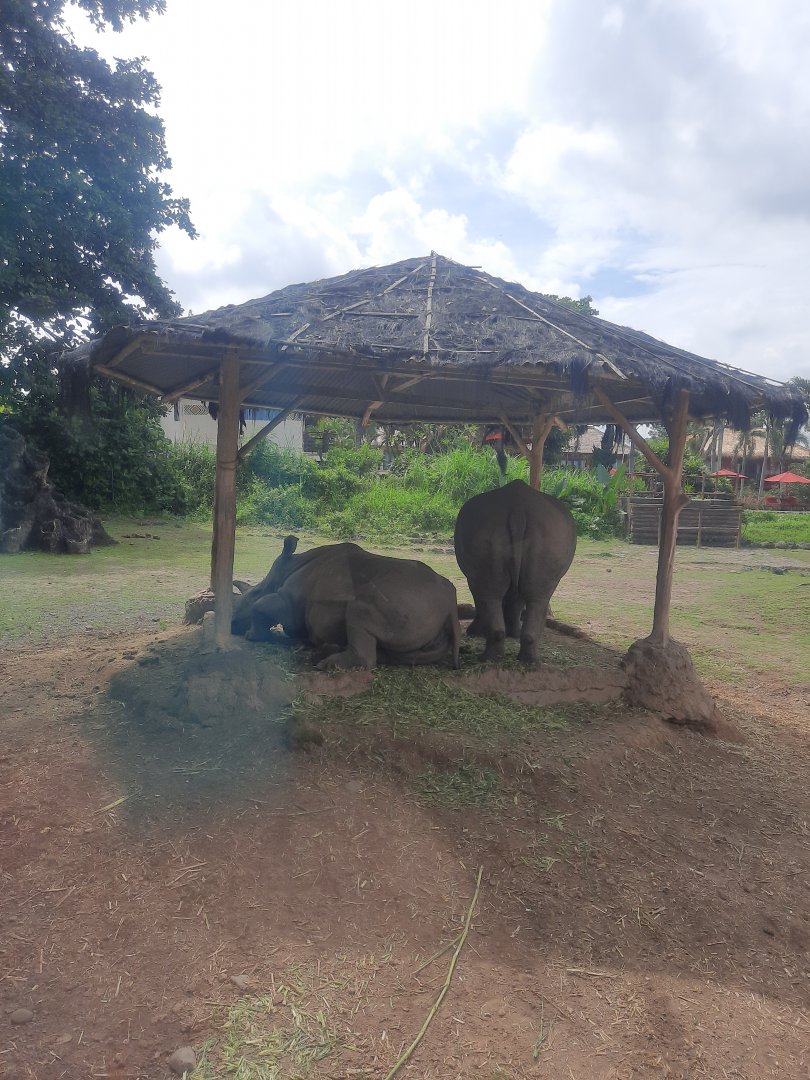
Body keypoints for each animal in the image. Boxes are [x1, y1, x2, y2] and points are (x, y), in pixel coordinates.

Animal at [231, 536, 461, 670]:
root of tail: (451, 606)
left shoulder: (289, 601)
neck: (288, 566)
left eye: (254, 592)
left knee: (359, 609)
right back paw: (328, 650)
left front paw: (252, 635)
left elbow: (262, 605)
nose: (231, 623)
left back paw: (325, 664)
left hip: (406, 598)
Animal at [454, 480, 577, 665]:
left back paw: (506, 659)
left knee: (501, 594)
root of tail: (518, 508)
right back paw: (521, 661)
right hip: (547, 533)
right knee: (532, 596)